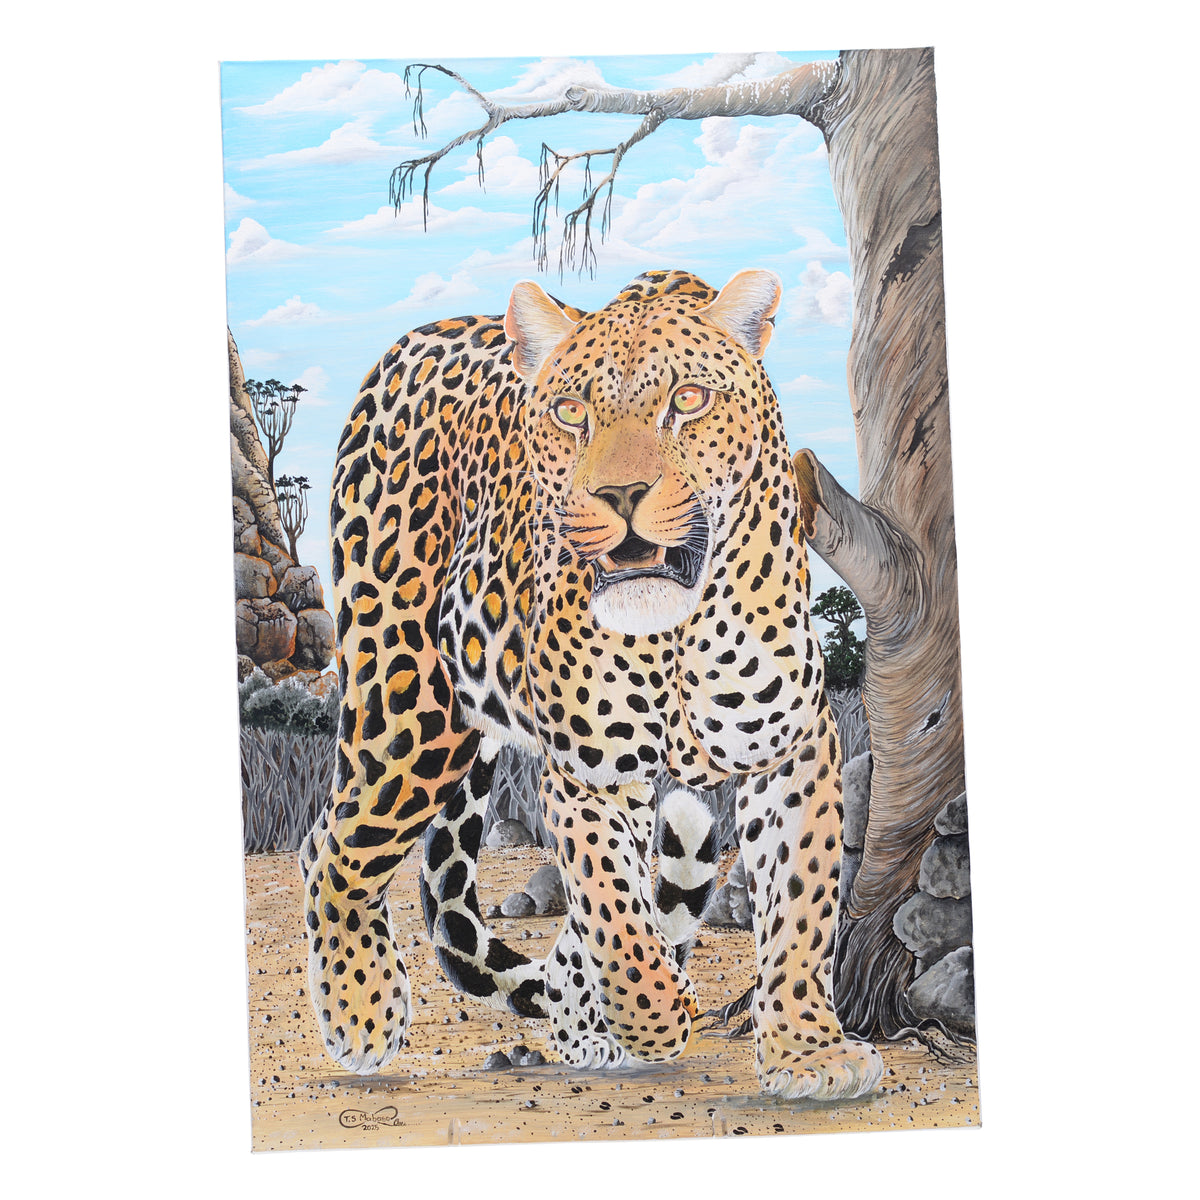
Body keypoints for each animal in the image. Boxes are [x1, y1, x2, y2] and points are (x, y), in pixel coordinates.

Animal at [299, 268, 883, 1101]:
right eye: (572, 412)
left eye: (688, 400)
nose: (621, 494)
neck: (676, 631)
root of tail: (421, 335)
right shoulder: (588, 777)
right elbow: (617, 915)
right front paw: (655, 1019)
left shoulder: (790, 750)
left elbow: (798, 905)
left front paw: (809, 1050)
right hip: (410, 699)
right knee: (334, 841)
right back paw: (362, 1014)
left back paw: (581, 1028)